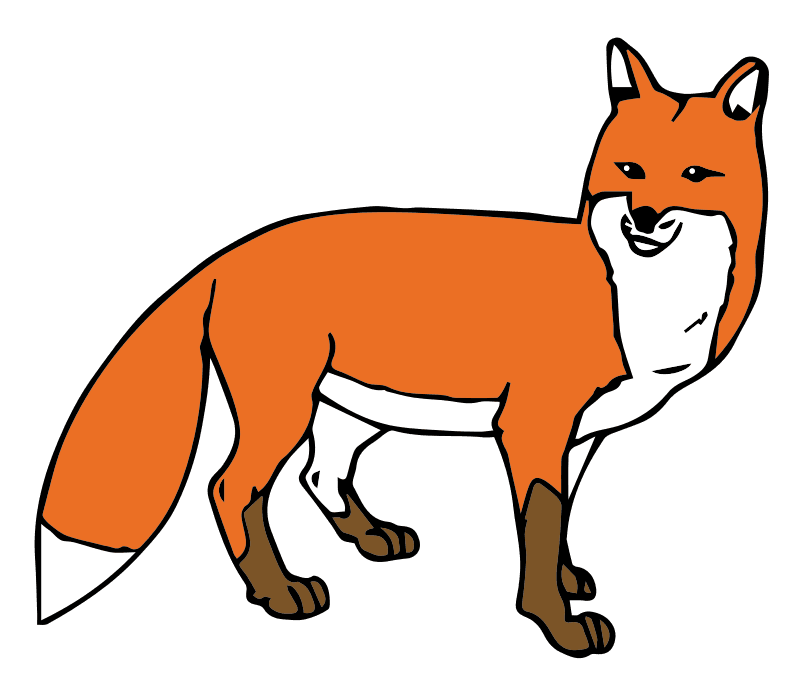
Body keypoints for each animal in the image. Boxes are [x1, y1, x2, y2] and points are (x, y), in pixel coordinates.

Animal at [36, 39, 768, 658]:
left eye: (695, 175)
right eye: (630, 170)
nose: (642, 217)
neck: (637, 300)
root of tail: (231, 253)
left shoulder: (580, 436)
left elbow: (560, 520)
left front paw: (566, 581)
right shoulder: (532, 426)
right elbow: (538, 526)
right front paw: (554, 623)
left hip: (351, 411)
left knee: (319, 475)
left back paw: (370, 537)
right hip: (284, 411)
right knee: (232, 488)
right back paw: (279, 592)